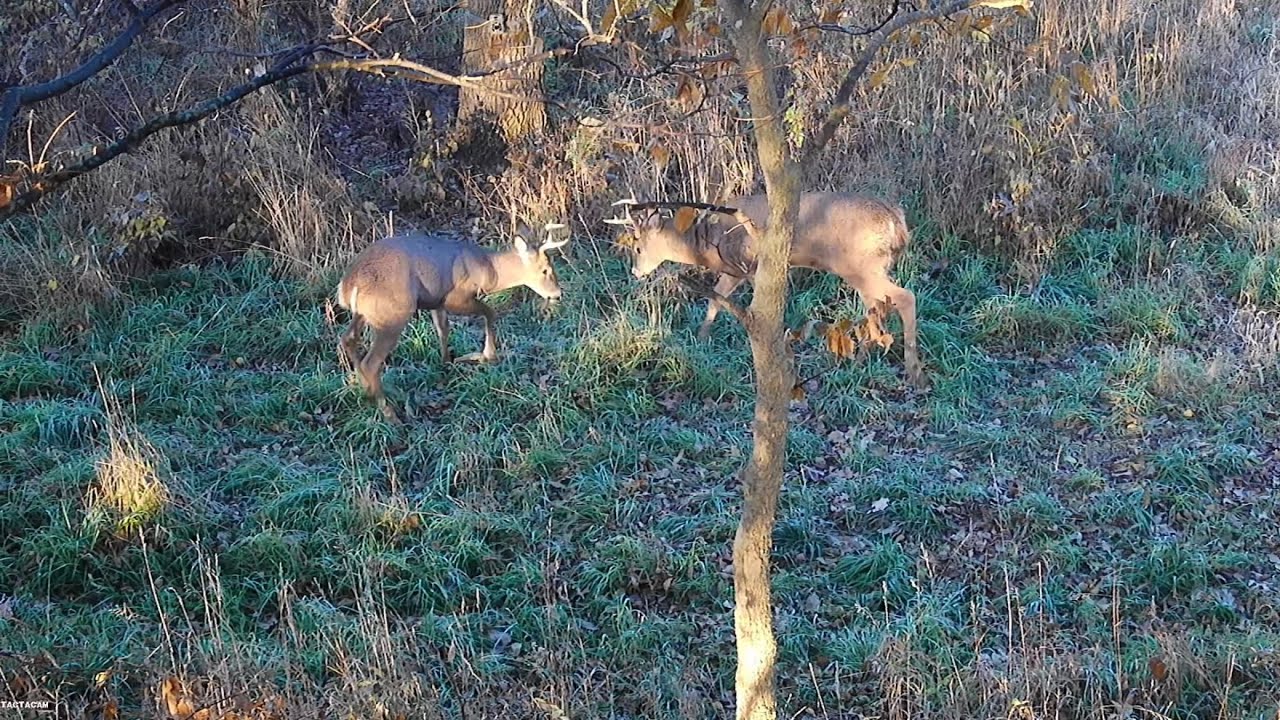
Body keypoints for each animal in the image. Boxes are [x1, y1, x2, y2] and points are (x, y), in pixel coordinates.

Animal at [336, 223, 570, 421]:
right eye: (545, 270)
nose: (557, 294)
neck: (489, 269)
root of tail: (348, 286)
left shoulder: (437, 300)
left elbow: (443, 328)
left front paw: (447, 362)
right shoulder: (455, 296)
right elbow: (490, 312)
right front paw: (487, 354)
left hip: (364, 314)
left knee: (348, 339)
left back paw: (365, 391)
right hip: (392, 315)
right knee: (371, 362)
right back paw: (390, 415)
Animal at [605, 192, 924, 388]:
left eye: (638, 247)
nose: (636, 272)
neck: (707, 240)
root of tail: (896, 220)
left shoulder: (750, 266)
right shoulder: (732, 271)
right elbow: (715, 301)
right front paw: (702, 338)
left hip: (858, 264)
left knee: (904, 297)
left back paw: (912, 370)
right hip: (870, 266)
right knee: (878, 306)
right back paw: (861, 360)